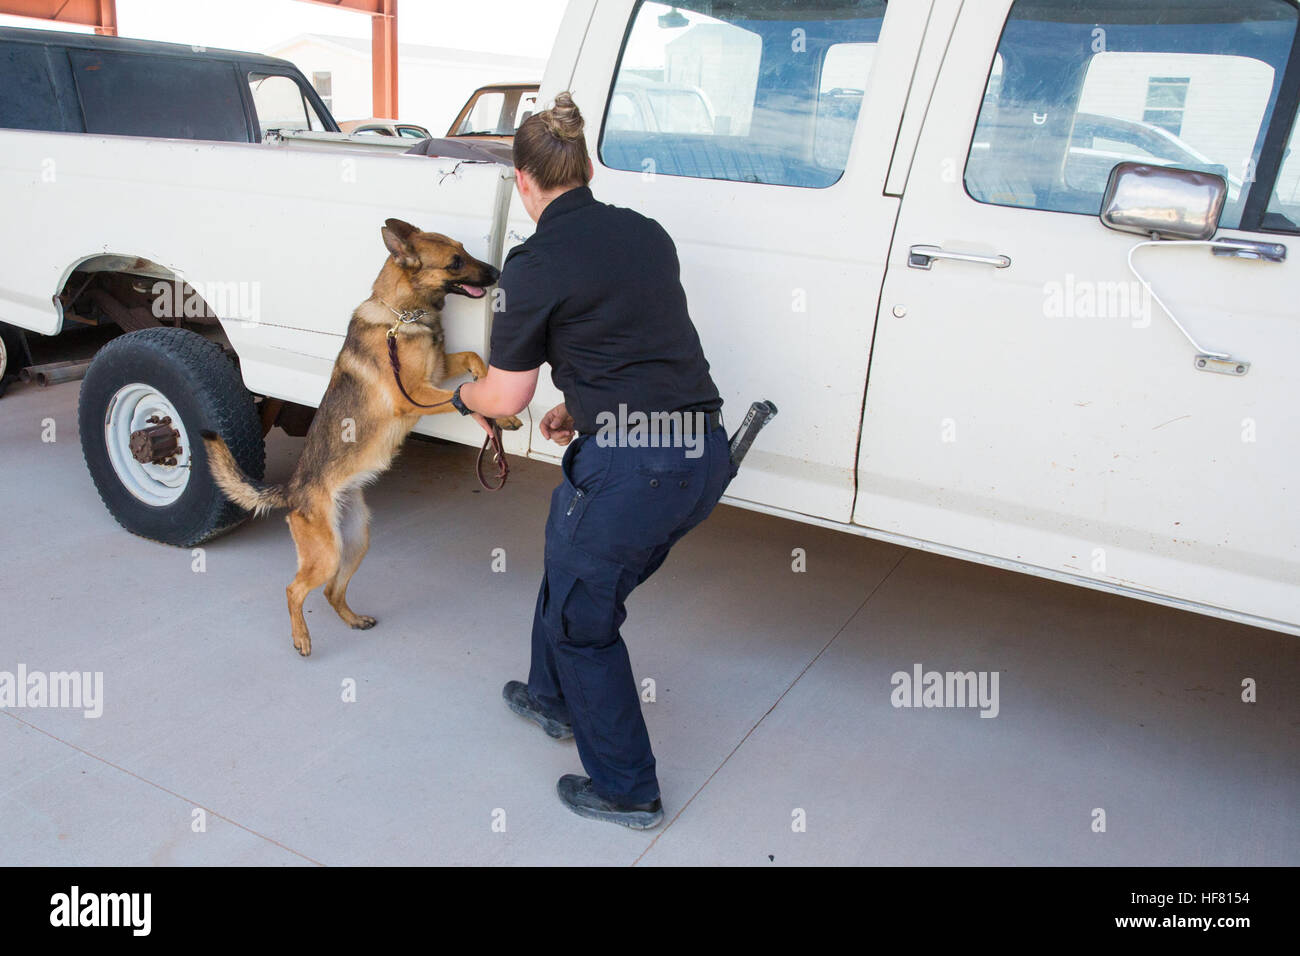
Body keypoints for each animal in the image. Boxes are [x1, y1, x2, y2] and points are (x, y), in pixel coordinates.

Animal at [200, 221, 520, 658]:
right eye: (456, 261)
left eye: (464, 249)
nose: (498, 272)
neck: (402, 315)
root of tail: (294, 488)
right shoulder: (415, 394)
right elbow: (467, 399)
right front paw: (501, 413)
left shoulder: (439, 371)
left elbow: (474, 360)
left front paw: (503, 403)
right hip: (325, 554)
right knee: (294, 589)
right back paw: (301, 638)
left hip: (355, 542)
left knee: (331, 592)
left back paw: (353, 620)